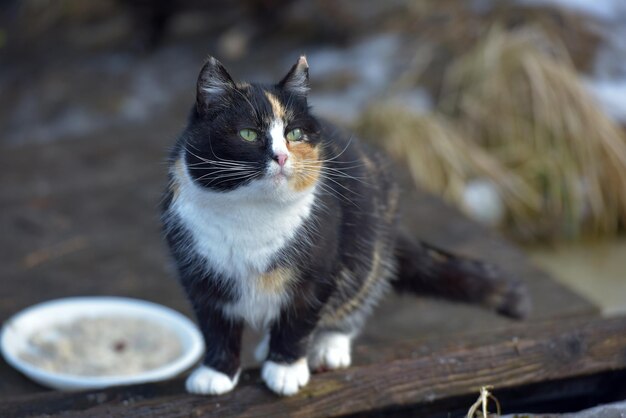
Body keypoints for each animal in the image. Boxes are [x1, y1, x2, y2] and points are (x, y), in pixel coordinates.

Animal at [160, 54, 528, 396]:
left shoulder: (321, 265)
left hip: (369, 245)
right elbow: (215, 325)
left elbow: (299, 318)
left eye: (295, 134)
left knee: (359, 294)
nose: (281, 157)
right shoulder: (198, 270)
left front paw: (285, 369)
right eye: (248, 133)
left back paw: (327, 346)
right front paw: (216, 373)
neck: (250, 213)